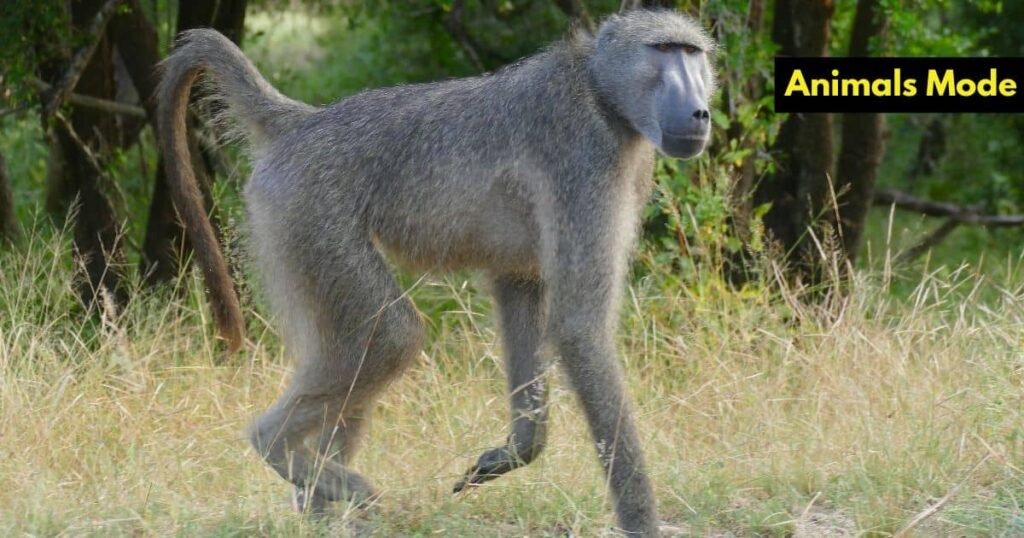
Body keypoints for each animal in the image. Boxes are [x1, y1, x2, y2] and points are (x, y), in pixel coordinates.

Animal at [157, 9, 715, 536]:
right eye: (664, 50)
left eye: (693, 53)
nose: (700, 110)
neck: (599, 92)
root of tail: (302, 123)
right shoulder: (582, 161)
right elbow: (580, 329)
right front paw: (642, 522)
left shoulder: (522, 266)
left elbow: (522, 293)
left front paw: (515, 450)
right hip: (308, 214)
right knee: (389, 335)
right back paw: (287, 454)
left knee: (358, 347)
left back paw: (317, 504)